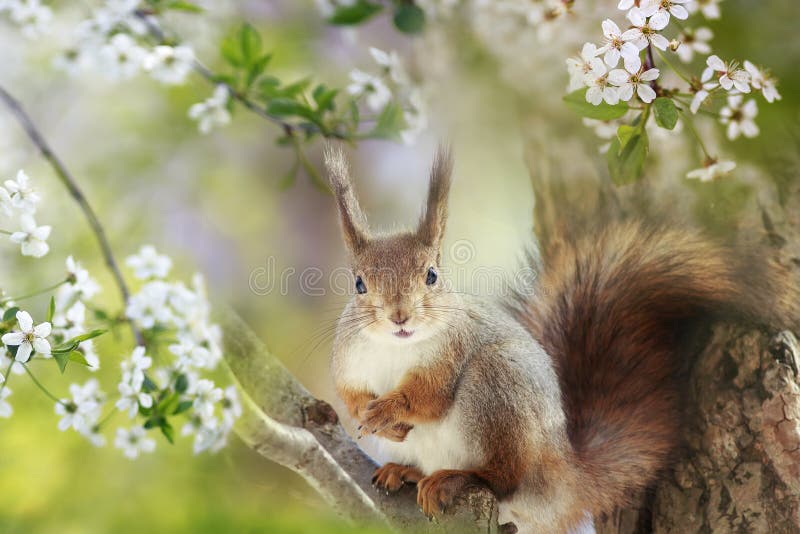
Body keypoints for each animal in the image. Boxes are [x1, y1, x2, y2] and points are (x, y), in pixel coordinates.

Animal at [323, 145, 795, 533]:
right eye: (359, 284)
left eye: (432, 276)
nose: (399, 316)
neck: (395, 348)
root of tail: (564, 476)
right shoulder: (348, 361)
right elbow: (348, 394)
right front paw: (369, 414)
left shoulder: (452, 352)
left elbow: (429, 397)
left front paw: (390, 410)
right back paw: (405, 471)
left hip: (497, 392)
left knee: (504, 479)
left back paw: (456, 478)